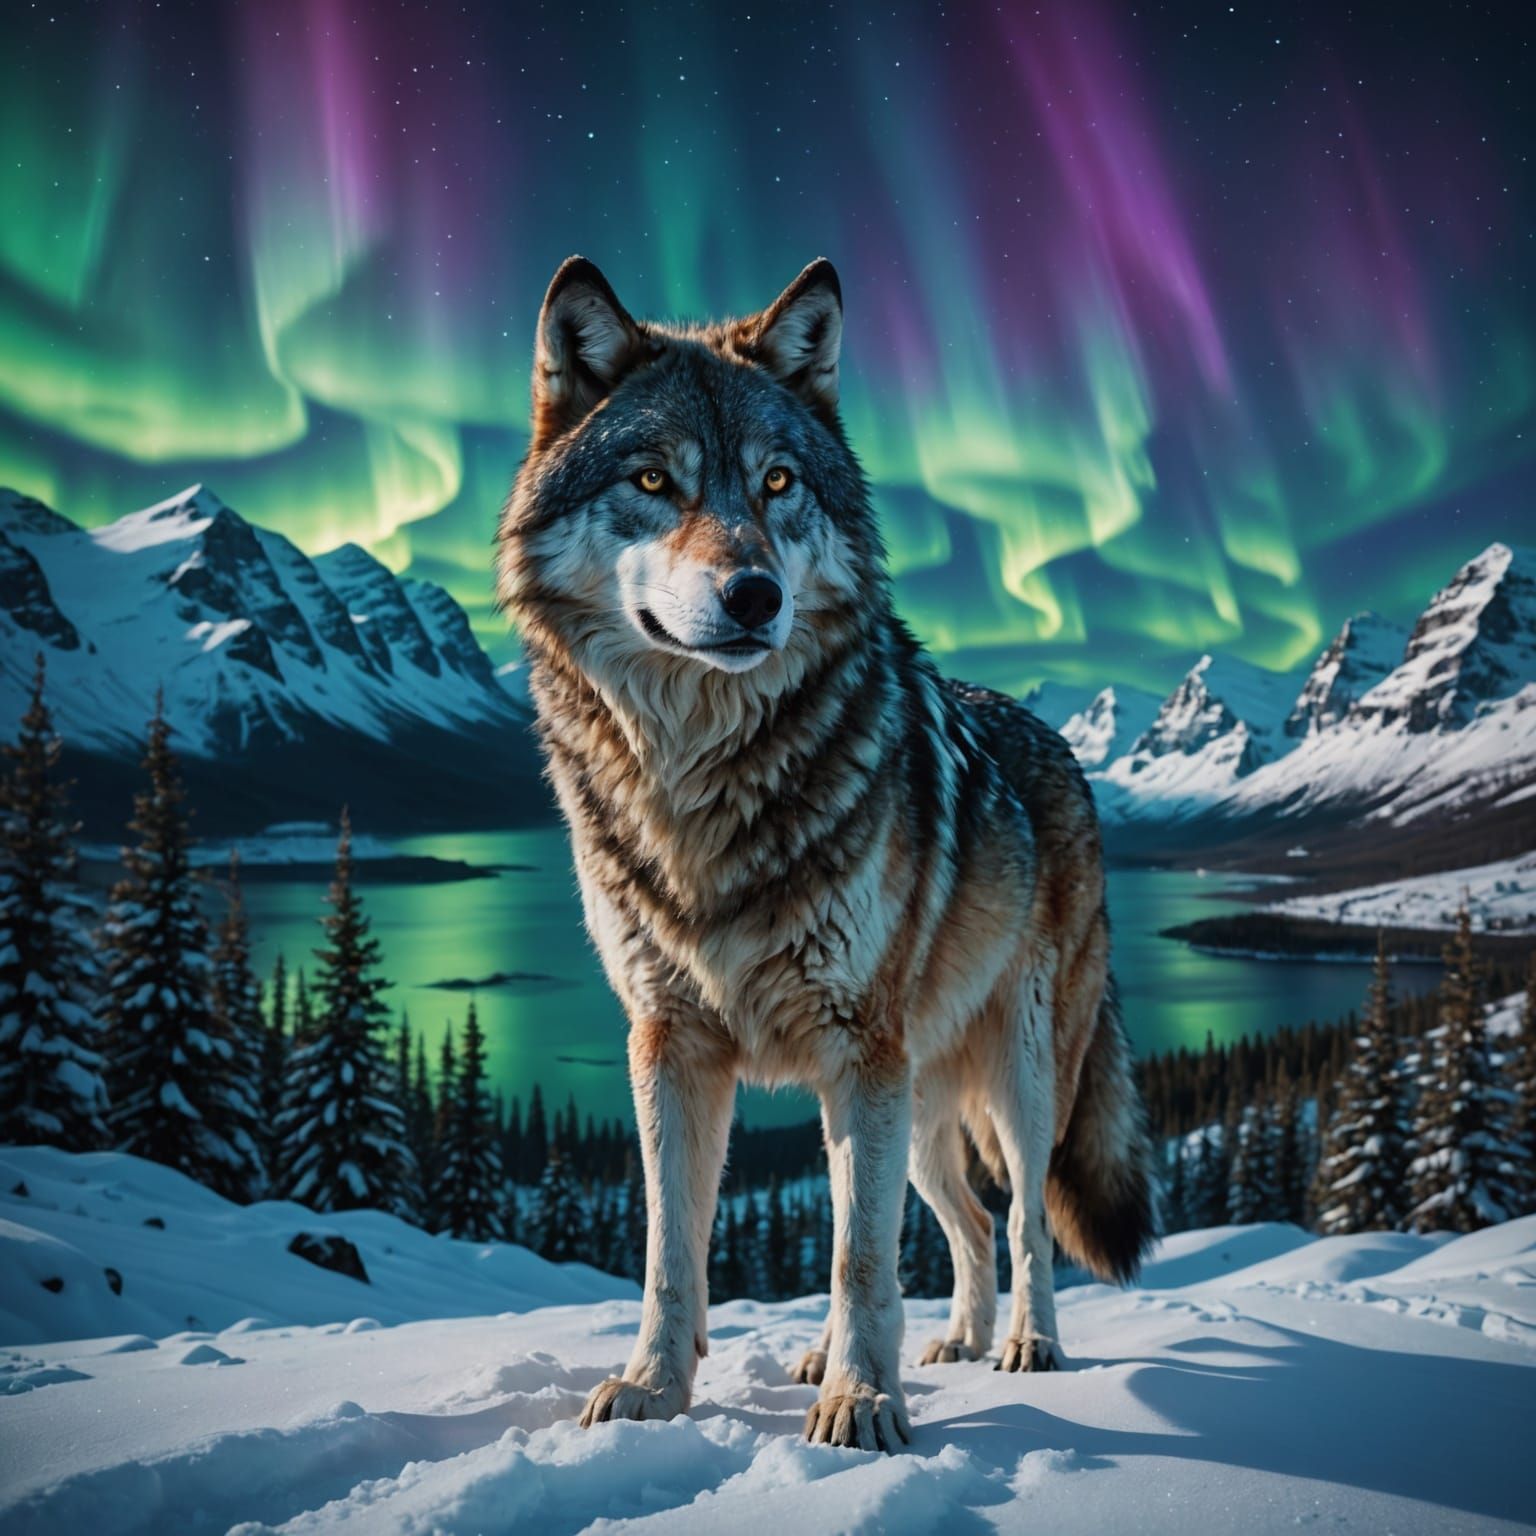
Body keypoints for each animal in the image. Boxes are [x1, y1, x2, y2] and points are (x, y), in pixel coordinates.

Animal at [497, 255, 1155, 1453]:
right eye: (655, 481)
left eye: (779, 483)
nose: (754, 593)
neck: (702, 786)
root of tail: (1064, 752)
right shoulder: (670, 1046)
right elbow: (672, 1254)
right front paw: (652, 1391)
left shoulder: (857, 1051)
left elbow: (856, 1258)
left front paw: (862, 1405)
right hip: (920, 1107)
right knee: (966, 1222)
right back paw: (946, 1344)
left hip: (1014, 1081)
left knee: (1026, 1220)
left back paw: (1025, 1347)